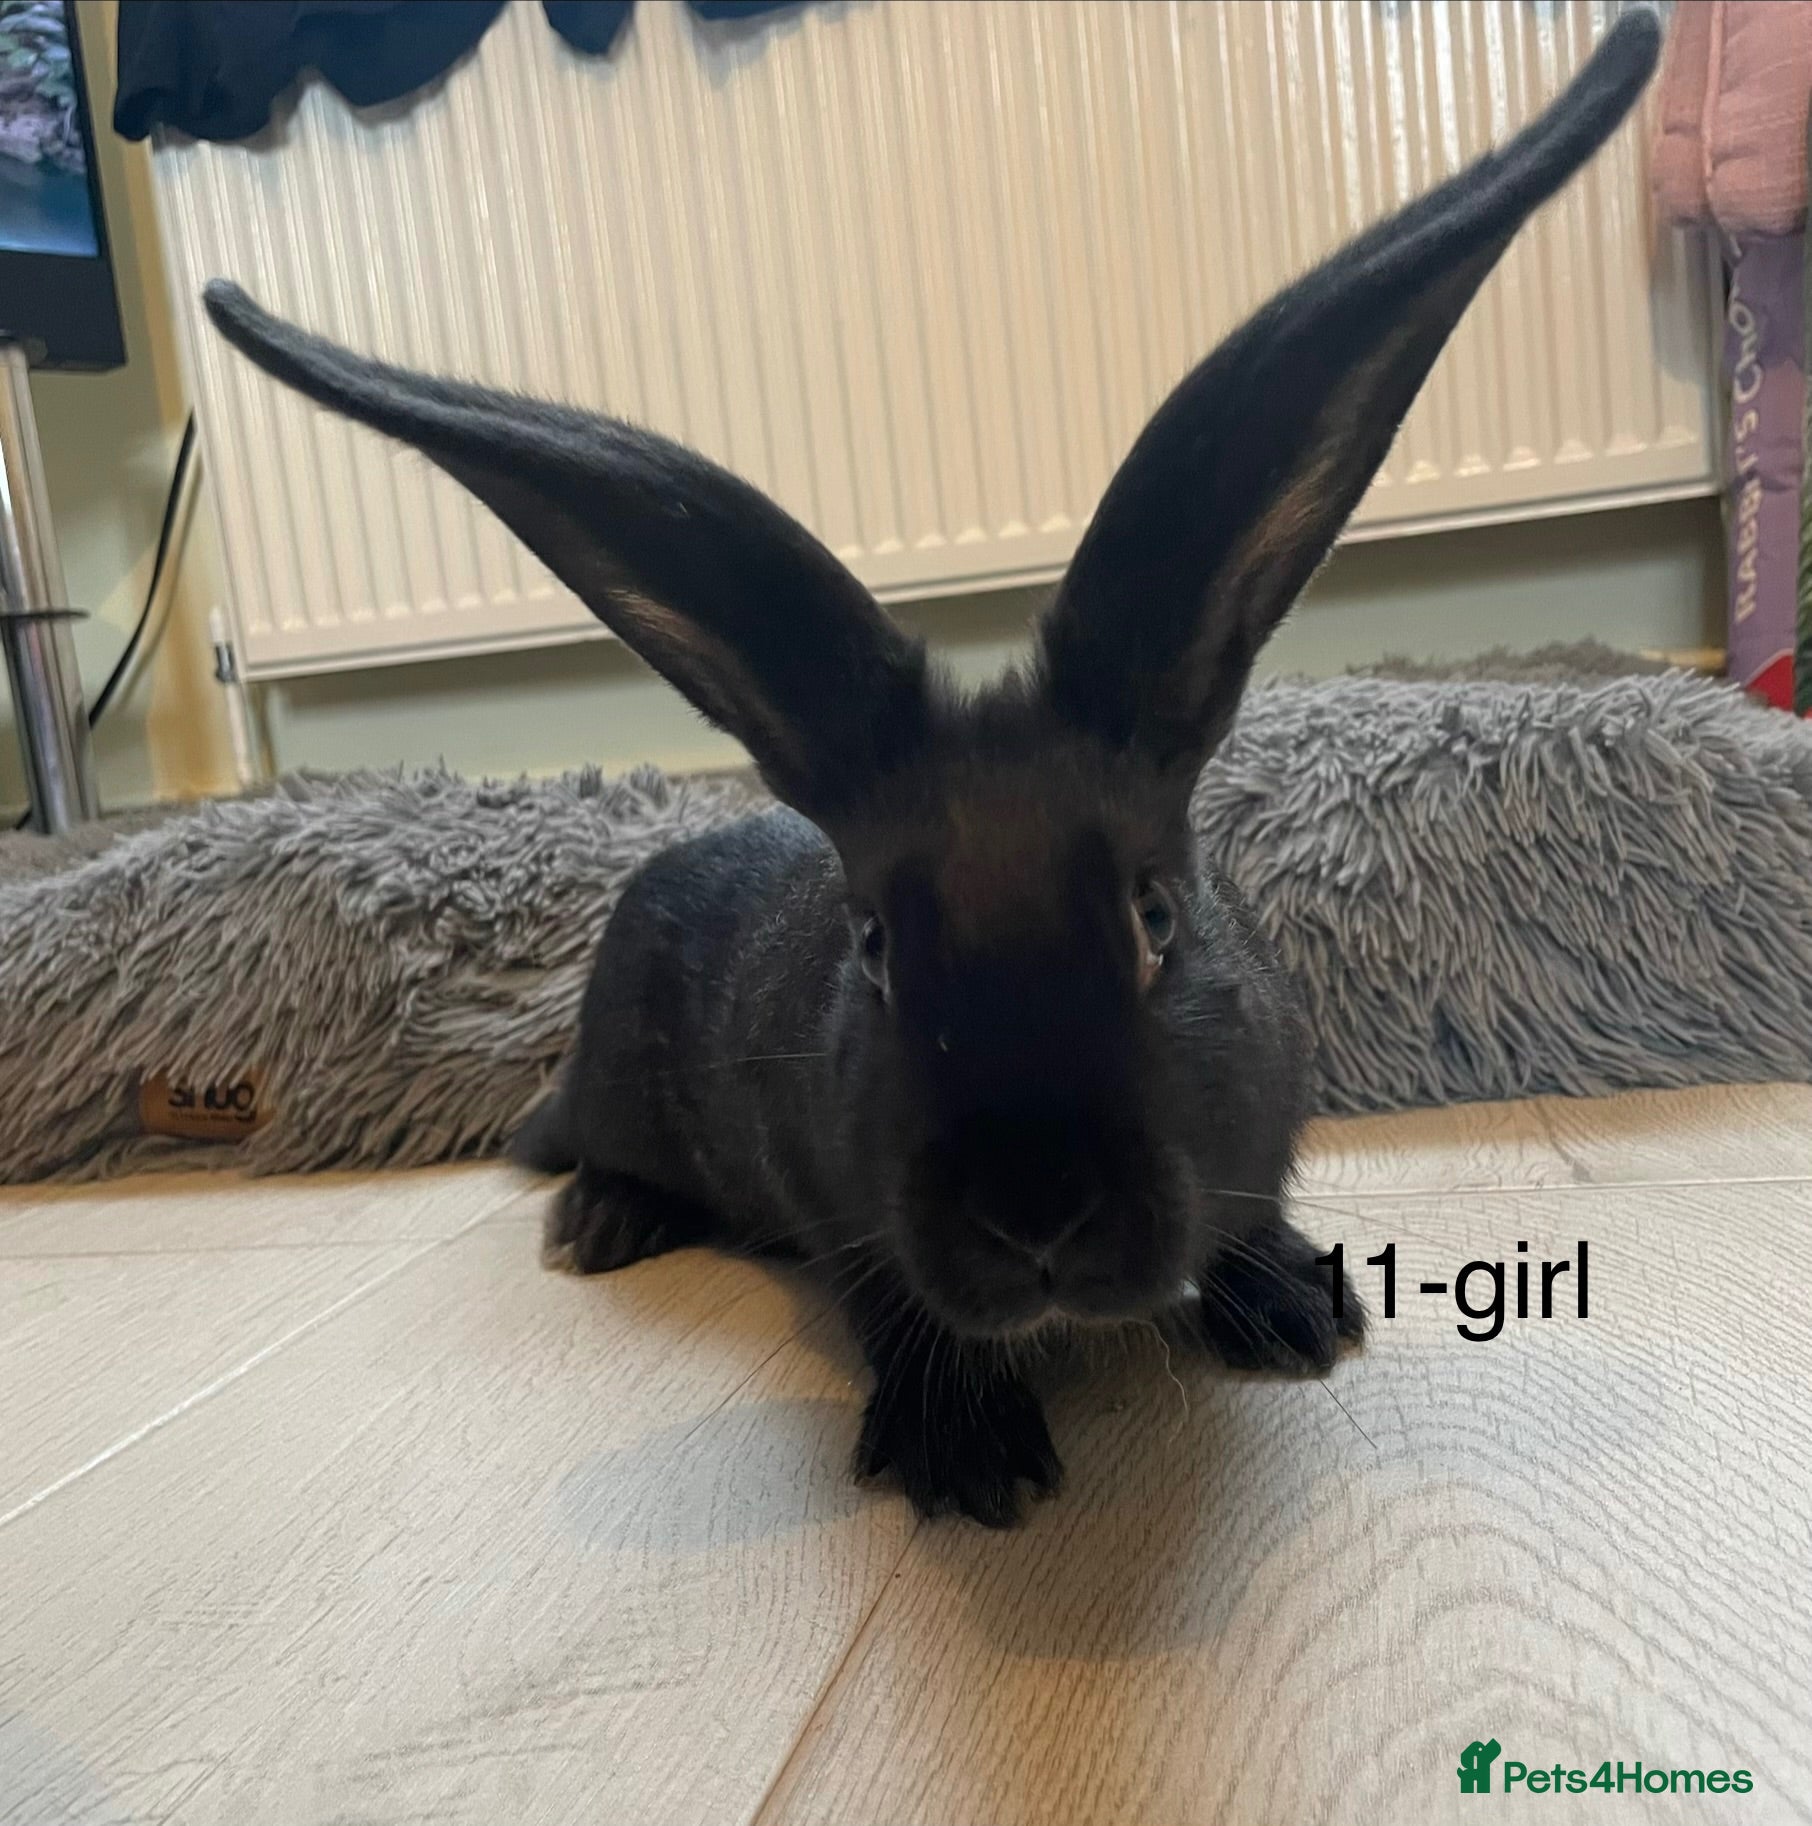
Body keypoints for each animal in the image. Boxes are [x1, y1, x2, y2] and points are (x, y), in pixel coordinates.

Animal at [203, 9, 1659, 1525]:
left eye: (1156, 918)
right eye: (877, 948)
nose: (1037, 1210)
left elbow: (1248, 1216)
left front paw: (1296, 1312)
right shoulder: (844, 1212)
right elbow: (894, 1306)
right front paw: (969, 1457)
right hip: (615, 1084)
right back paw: (600, 1219)